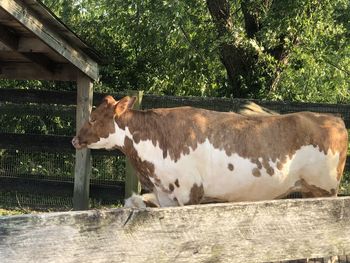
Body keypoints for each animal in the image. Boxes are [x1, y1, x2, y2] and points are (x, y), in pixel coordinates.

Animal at [71, 96, 348, 209]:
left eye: (93, 118)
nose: (74, 139)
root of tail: (334, 119)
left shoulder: (189, 193)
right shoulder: (165, 196)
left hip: (326, 191)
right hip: (310, 192)